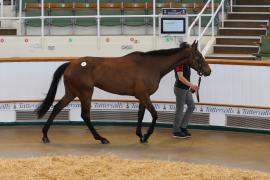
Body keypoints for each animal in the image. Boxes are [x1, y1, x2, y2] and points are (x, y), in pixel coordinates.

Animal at [37, 40, 212, 144]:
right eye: (198, 56)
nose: (208, 71)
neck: (151, 66)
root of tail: (71, 64)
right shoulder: (143, 96)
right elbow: (154, 115)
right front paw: (146, 136)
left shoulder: (143, 96)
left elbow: (141, 115)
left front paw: (140, 135)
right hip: (85, 93)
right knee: (85, 115)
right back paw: (101, 138)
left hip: (72, 93)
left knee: (57, 108)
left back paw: (45, 135)